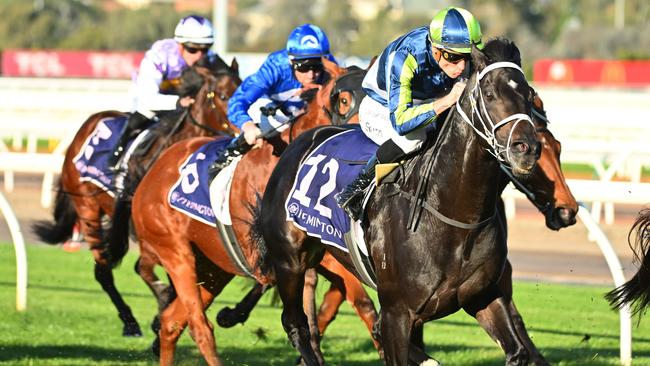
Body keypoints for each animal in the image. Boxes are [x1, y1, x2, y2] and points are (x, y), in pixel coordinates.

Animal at [31, 58, 239, 338]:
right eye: (223, 96)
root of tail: (91, 121)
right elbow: (152, 270)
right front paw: (162, 309)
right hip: (87, 206)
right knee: (103, 270)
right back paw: (129, 321)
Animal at [105, 58, 378, 364]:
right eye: (344, 99)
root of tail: (149, 175)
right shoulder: (270, 250)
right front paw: (233, 314)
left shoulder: (327, 250)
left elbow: (364, 305)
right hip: (176, 254)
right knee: (198, 325)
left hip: (212, 266)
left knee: (172, 322)